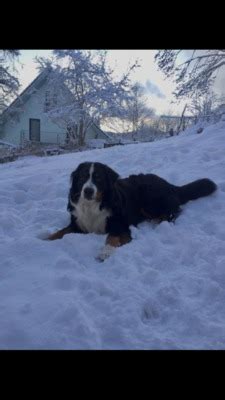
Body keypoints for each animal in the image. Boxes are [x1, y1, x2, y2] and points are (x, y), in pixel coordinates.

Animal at [46, 161, 217, 260]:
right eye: (82, 178)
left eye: (98, 178)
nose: (88, 191)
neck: (93, 205)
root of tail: (169, 184)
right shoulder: (78, 224)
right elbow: (61, 232)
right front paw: (44, 239)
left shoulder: (121, 226)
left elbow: (112, 237)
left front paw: (105, 253)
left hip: (149, 198)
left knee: (172, 213)